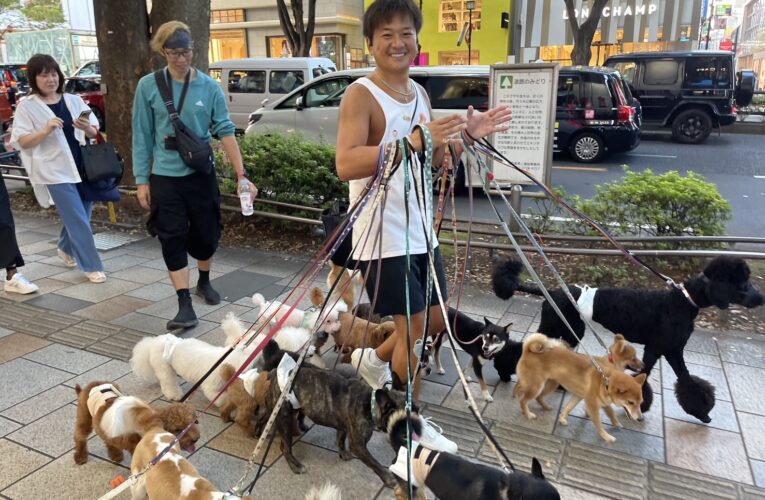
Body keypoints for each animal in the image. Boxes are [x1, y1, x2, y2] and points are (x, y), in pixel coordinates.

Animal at [492, 256, 760, 424]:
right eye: (741, 282)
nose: (761, 298)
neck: (683, 301)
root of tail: (551, 291)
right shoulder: (662, 349)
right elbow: (661, 377)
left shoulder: (670, 351)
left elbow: (686, 380)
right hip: (555, 325)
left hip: (569, 329)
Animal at [512, 334, 644, 444]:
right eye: (633, 358)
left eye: (641, 403)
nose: (641, 419)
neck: (605, 380)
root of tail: (528, 349)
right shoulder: (593, 405)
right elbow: (600, 422)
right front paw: (606, 436)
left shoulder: (580, 397)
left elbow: (569, 408)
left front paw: (562, 418)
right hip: (537, 386)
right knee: (524, 400)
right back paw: (527, 413)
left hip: (550, 384)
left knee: (532, 393)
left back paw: (539, 404)